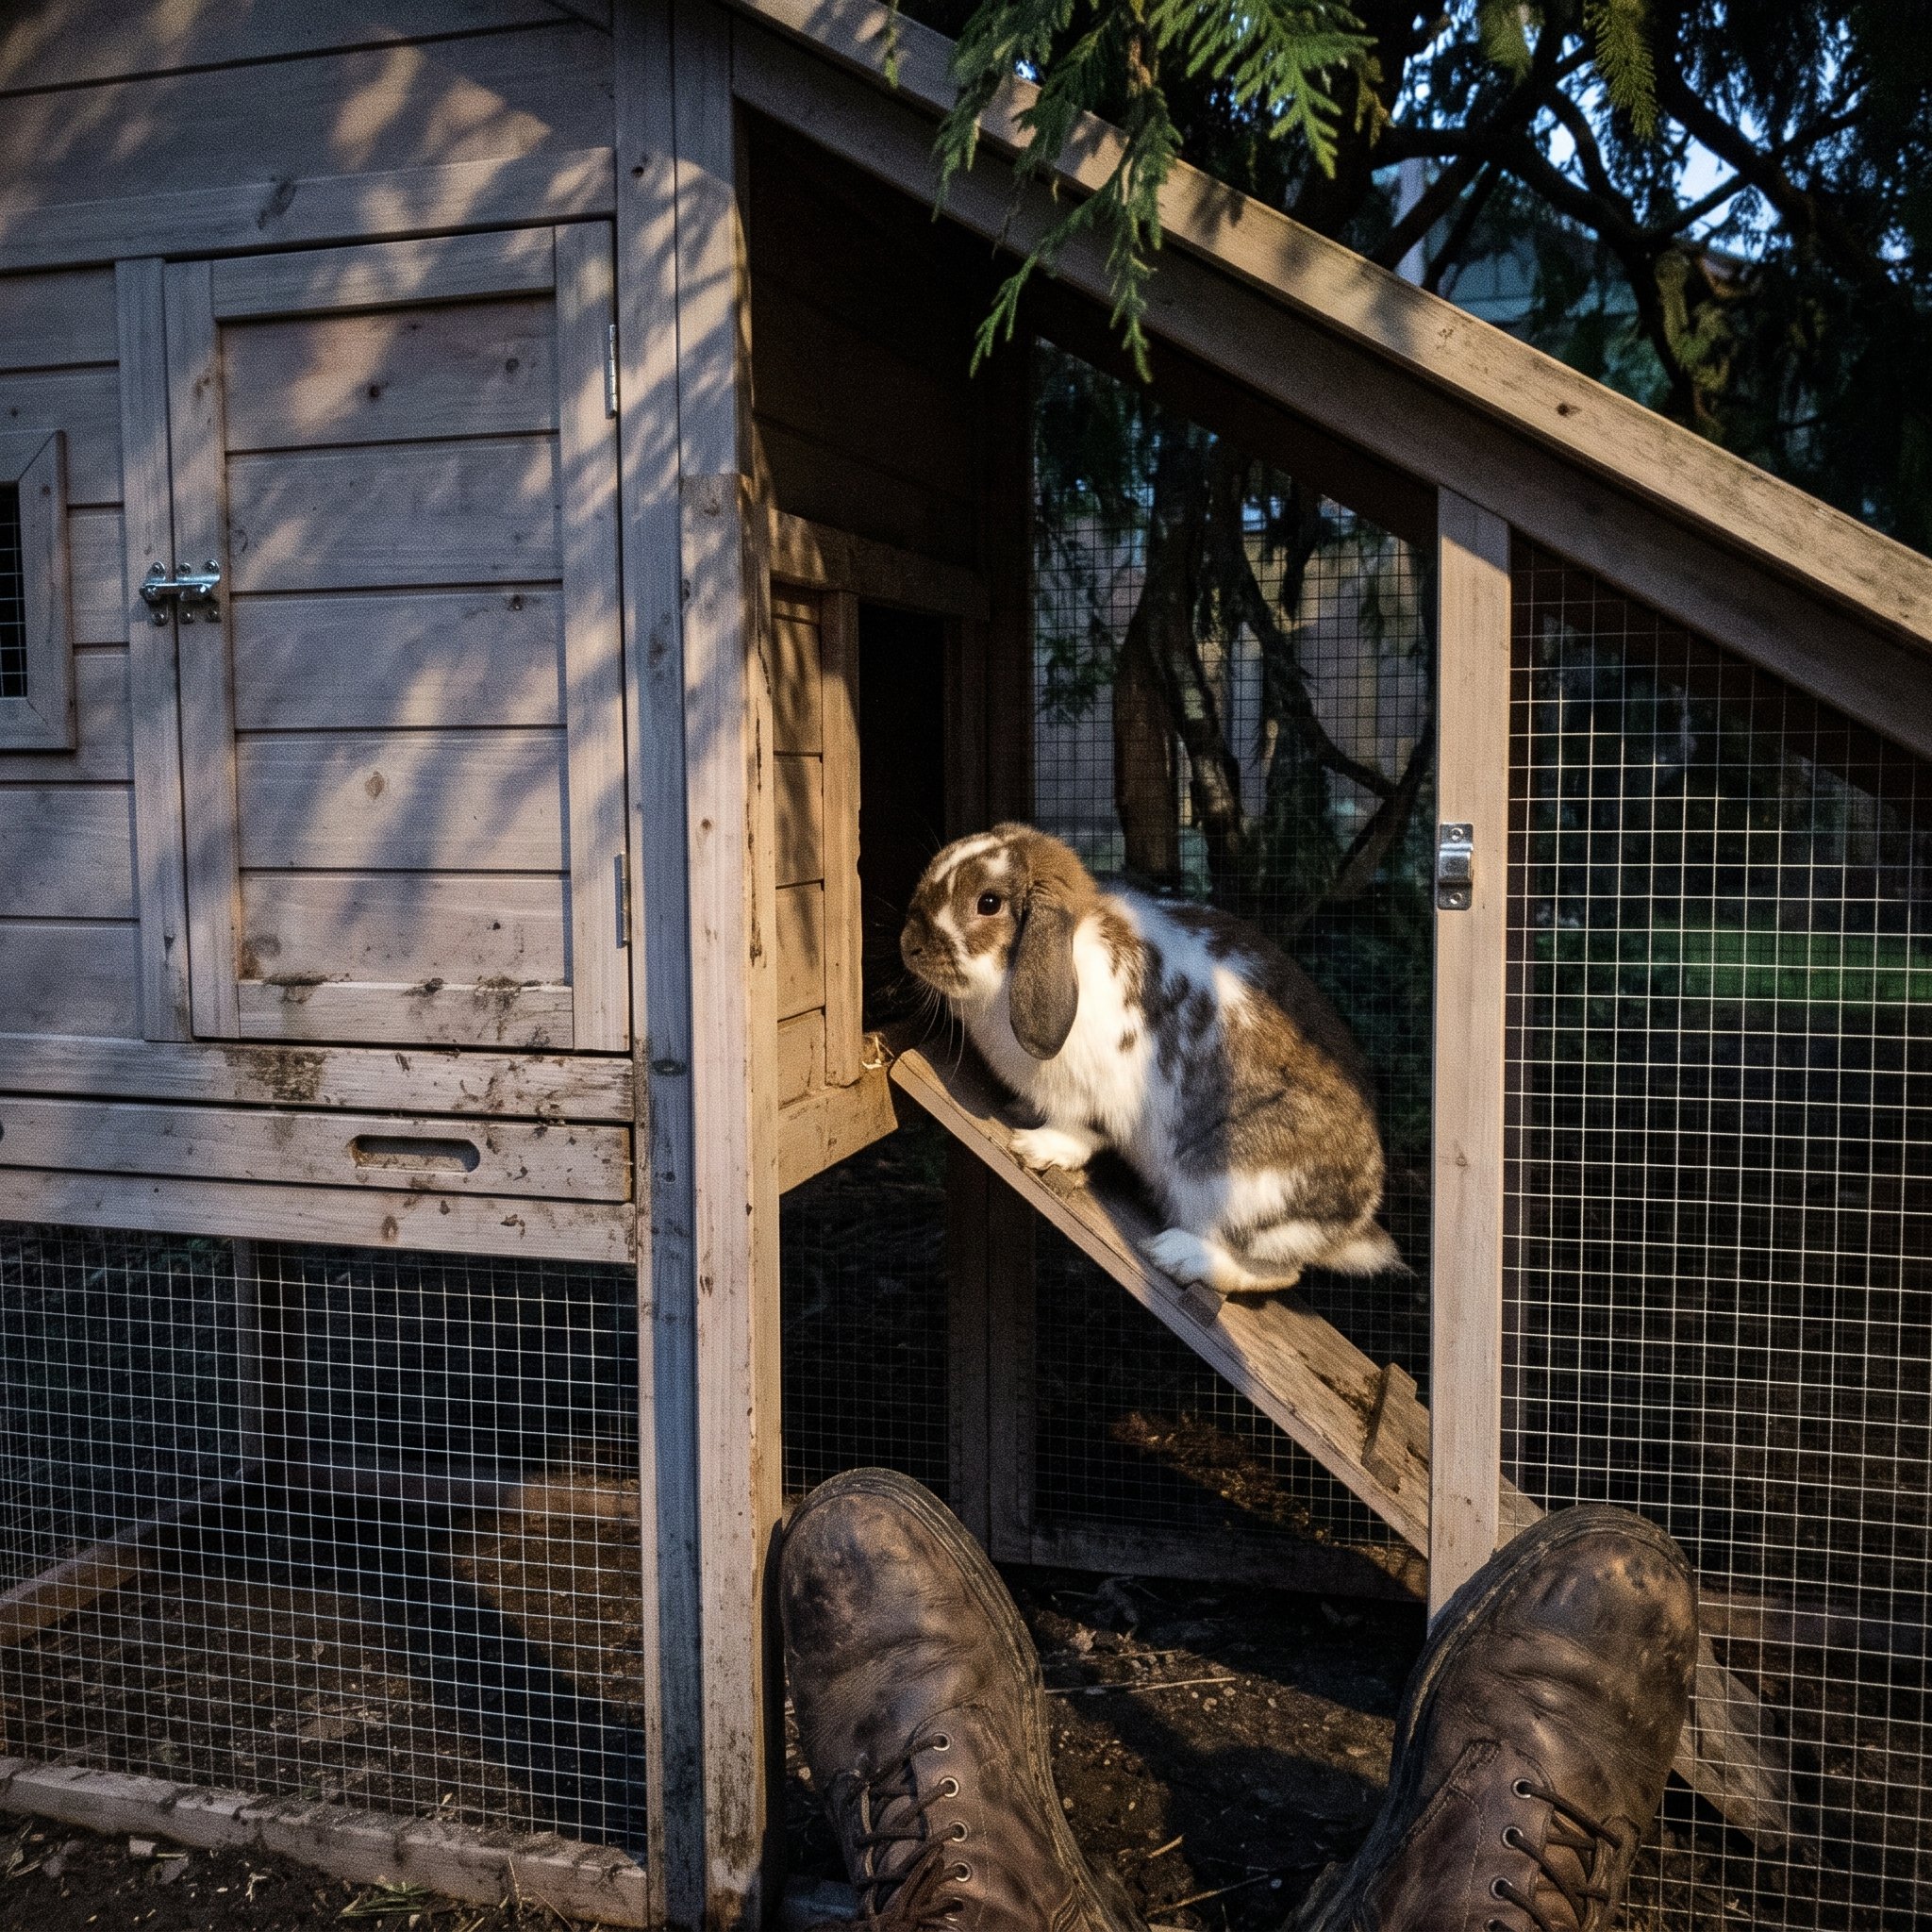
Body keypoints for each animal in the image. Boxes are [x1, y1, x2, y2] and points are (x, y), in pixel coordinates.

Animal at [899, 822, 1403, 1294]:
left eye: (988, 903)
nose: (909, 945)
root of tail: (1356, 1220)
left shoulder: (1094, 1095)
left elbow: (1079, 1130)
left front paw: (1037, 1146)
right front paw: (1022, 1112)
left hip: (1226, 1184)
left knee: (1278, 1270)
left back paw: (1177, 1255)